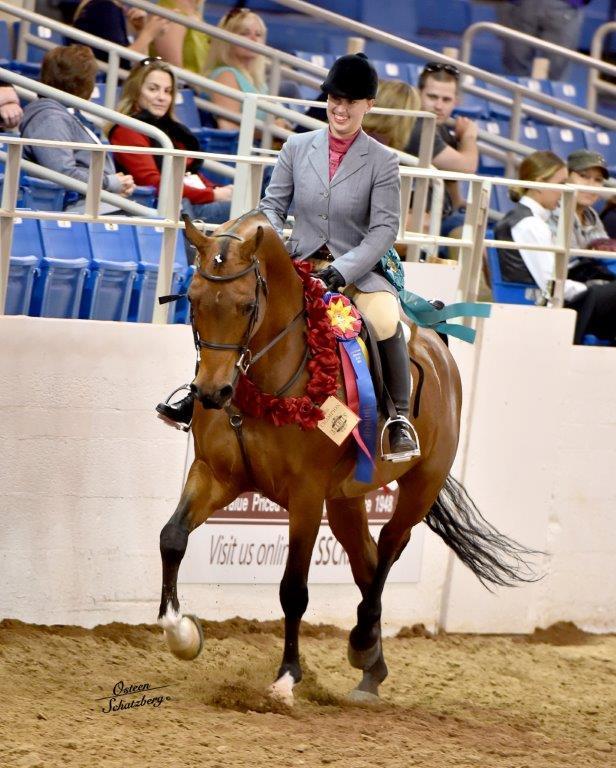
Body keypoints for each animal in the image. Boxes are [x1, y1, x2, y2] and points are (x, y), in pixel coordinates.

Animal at [157, 210, 536, 705]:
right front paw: (180, 634)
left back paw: (361, 644)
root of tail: (437, 346)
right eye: (194, 300)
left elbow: (293, 589)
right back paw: (371, 663)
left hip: (421, 484)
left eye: (245, 306)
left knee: (390, 547)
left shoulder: (305, 497)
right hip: (345, 499)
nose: (211, 394)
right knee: (367, 562)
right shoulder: (214, 474)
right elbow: (172, 537)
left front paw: (287, 677)